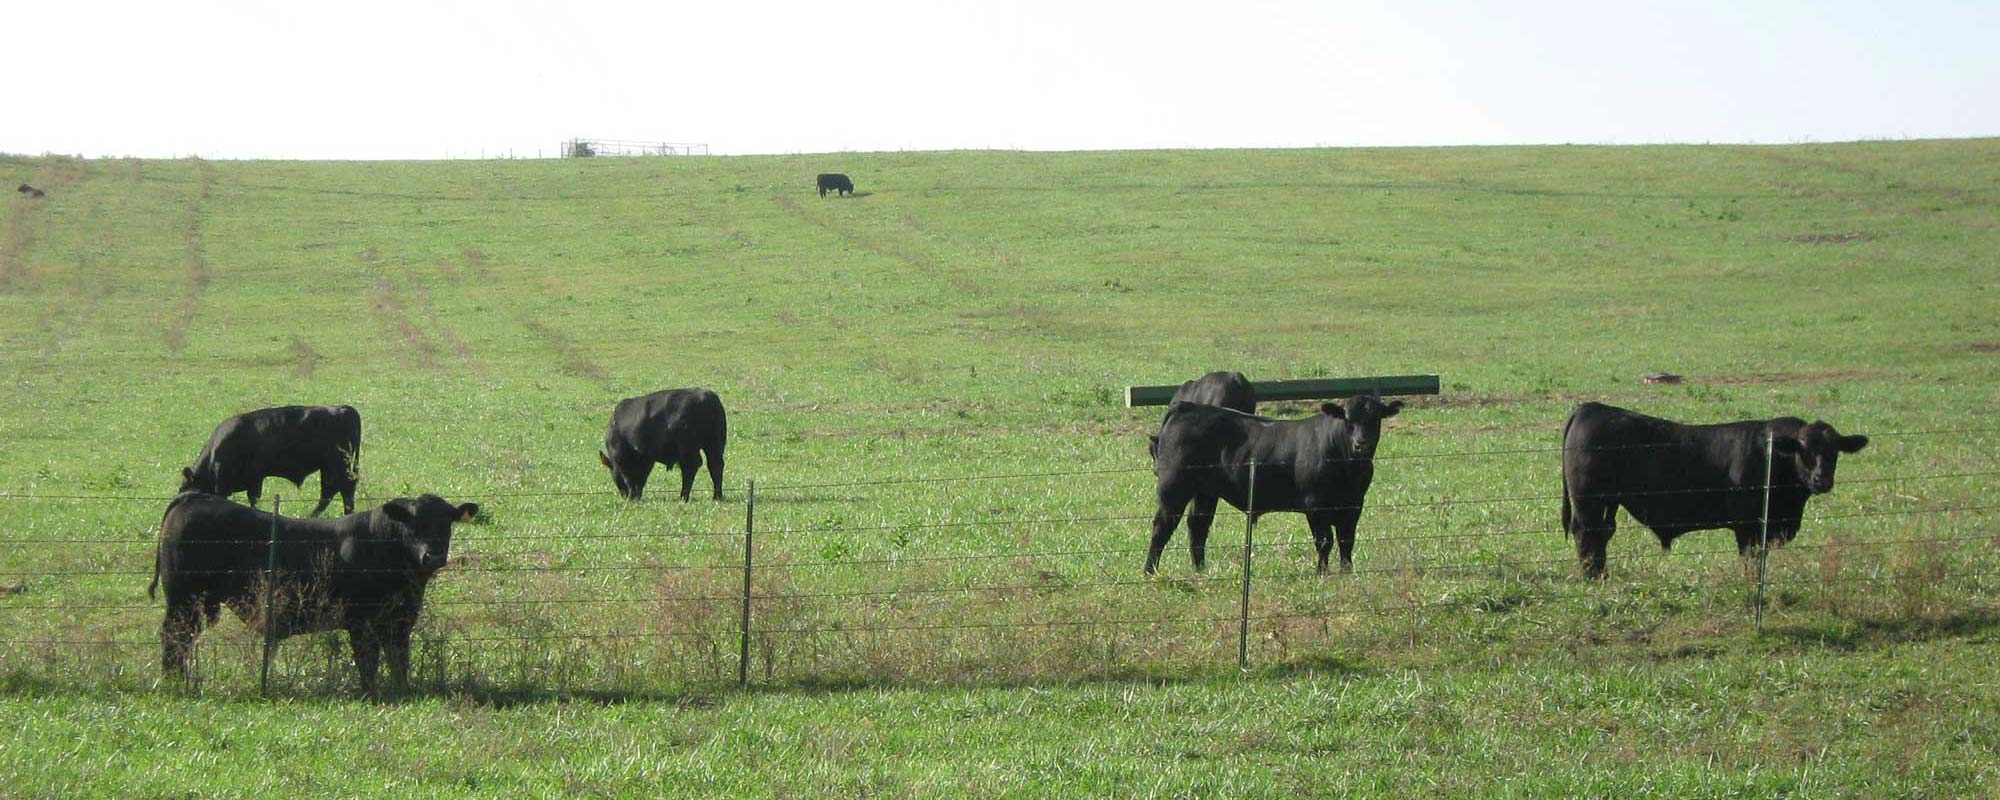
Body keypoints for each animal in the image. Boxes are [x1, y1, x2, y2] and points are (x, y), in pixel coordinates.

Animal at [151, 490, 476, 696]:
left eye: (446, 523)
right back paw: (174, 683)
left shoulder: (401, 620)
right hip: (183, 599)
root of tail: (195, 497)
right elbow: (367, 659)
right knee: (174, 637)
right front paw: (371, 692)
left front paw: (402, 690)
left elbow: (399, 658)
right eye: (413, 523)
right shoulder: (360, 620)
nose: (432, 556)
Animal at [182, 406, 362, 520]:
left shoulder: (234, 482)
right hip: (328, 468)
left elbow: (252, 499)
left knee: (345, 489)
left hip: (339, 465)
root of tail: (344, 409)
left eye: (184, 489)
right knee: (328, 493)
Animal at [600, 388, 728, 500]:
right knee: (715, 465)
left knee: (691, 467)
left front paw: (633, 496)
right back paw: (717, 496)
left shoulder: (624, 459)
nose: (625, 496)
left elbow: (630, 478)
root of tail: (707, 396)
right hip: (714, 444)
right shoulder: (646, 460)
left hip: (688, 448)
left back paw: (684, 496)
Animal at [1144, 394, 1408, 576]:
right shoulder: (1315, 505)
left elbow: (1346, 541)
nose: (1361, 443)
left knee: (1197, 527)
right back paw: (1150, 571)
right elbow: (1325, 541)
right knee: (1162, 527)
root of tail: (1187, 406)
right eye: (1348, 419)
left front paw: (1346, 573)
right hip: (1173, 488)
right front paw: (1321, 574)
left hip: (1205, 492)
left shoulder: (1353, 506)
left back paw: (1200, 570)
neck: (1347, 468)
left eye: (1375, 419)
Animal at [1552, 404, 1864, 580]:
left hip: (1607, 503)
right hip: (1589, 503)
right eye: (1804, 451)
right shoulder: (1748, 526)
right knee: (1588, 537)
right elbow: (1752, 559)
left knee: (1602, 536)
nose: (1822, 479)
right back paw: (1594, 578)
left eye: (1834, 451)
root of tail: (1590, 407)